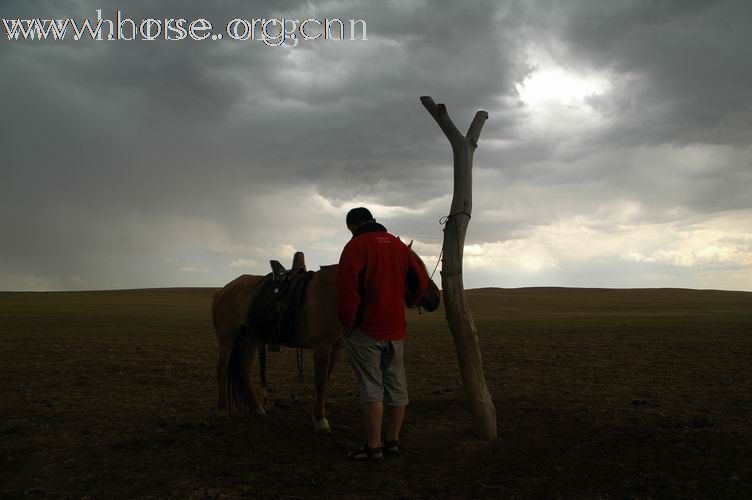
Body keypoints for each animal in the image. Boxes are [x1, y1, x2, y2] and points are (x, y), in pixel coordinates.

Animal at [212, 244, 440, 432]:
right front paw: (321, 421)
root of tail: (225, 289)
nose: (436, 298)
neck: (336, 294)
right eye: (413, 266)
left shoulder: (336, 349)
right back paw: (222, 410)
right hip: (228, 338)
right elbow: (320, 381)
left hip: (250, 338)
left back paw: (258, 410)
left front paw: (318, 414)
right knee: (222, 370)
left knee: (243, 370)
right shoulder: (322, 347)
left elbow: (326, 381)